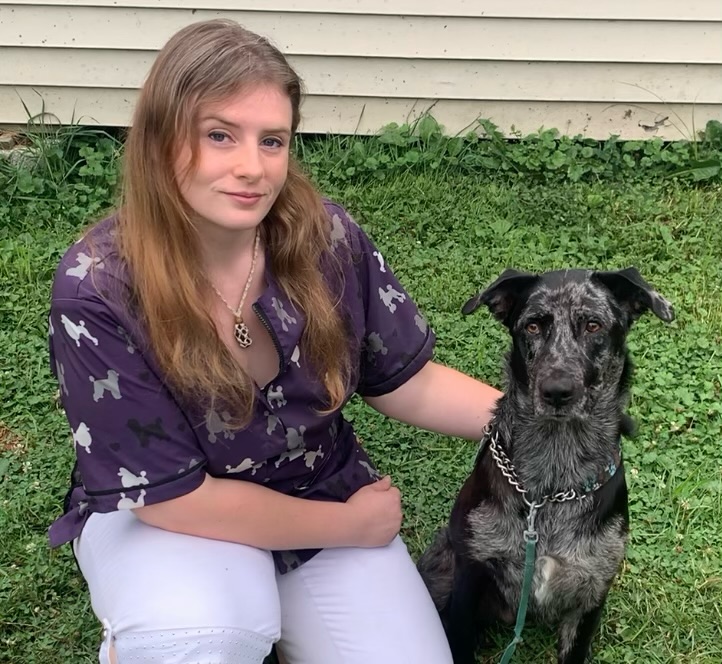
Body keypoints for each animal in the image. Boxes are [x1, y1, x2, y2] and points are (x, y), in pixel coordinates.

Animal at [420, 268, 672, 660]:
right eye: (533, 325)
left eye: (594, 325)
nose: (557, 391)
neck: (553, 483)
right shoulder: (469, 577)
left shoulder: (590, 593)